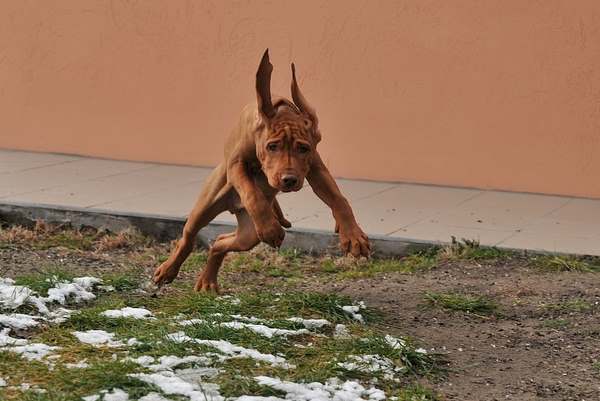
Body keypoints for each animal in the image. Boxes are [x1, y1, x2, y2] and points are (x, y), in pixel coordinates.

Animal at [152, 50, 368, 292]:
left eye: (303, 148)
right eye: (272, 146)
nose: (289, 180)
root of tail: (234, 207)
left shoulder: (316, 168)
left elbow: (338, 199)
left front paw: (353, 235)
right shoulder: (236, 164)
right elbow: (251, 192)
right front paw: (271, 229)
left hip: (249, 235)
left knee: (220, 243)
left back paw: (208, 281)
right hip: (206, 207)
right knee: (188, 237)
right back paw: (168, 270)